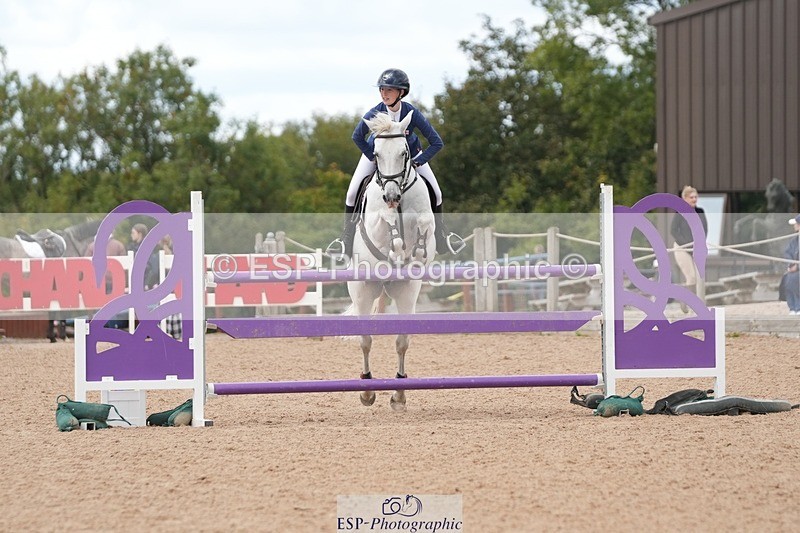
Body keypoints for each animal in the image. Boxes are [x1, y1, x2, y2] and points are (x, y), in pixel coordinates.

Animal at [347, 110, 436, 411]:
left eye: (404, 152)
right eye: (375, 154)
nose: (391, 197)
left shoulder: (427, 218)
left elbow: (423, 223)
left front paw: (416, 251)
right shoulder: (374, 223)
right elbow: (385, 222)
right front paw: (396, 246)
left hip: (406, 292)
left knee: (401, 341)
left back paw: (399, 393)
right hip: (362, 291)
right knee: (364, 340)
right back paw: (367, 390)